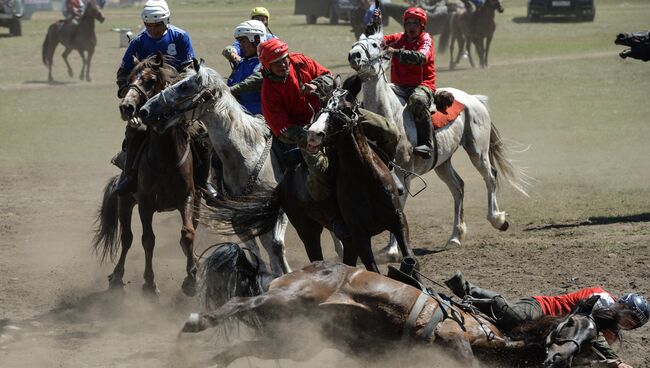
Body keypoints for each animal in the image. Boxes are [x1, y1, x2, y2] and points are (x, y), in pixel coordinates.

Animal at [90, 53, 199, 296]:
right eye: (129, 79)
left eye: (150, 81)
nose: (127, 107)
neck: (166, 158)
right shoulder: (145, 204)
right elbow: (148, 240)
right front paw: (149, 283)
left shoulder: (187, 197)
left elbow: (187, 234)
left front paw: (191, 278)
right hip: (125, 201)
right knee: (127, 238)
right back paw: (117, 277)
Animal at [140, 61, 416, 274]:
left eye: (184, 86)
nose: (145, 110)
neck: (245, 156)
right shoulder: (240, 216)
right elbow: (255, 248)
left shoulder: (277, 210)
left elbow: (275, 244)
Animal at [350, 29, 528, 262]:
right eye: (357, 42)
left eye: (374, 44)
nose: (354, 55)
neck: (389, 117)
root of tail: (474, 99)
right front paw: (388, 248)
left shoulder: (404, 173)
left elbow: (398, 205)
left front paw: (392, 250)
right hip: (443, 163)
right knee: (458, 187)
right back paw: (455, 236)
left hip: (477, 152)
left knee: (490, 177)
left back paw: (497, 220)